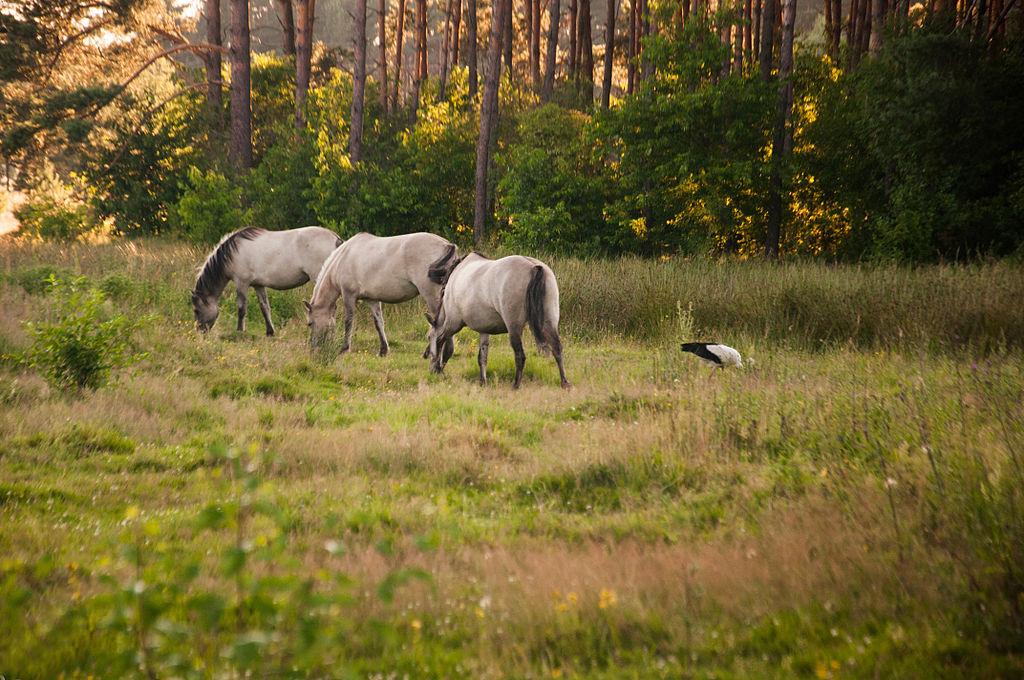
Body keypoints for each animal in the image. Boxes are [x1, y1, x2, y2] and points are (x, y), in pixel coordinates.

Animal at [193, 227, 346, 335]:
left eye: (196, 310)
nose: (200, 331)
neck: (232, 254)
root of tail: (336, 239)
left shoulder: (241, 283)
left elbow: (242, 309)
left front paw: (240, 331)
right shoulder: (258, 285)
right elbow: (264, 307)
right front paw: (270, 332)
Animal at [305, 231, 458, 356]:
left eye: (310, 323)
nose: (313, 347)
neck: (343, 258)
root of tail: (446, 244)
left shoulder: (349, 295)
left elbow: (348, 321)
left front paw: (344, 348)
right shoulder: (372, 299)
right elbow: (379, 323)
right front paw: (383, 350)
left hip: (431, 295)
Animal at [423, 250, 569, 391]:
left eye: (428, 337)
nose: (425, 356)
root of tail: (534, 267)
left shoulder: (452, 324)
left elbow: (440, 341)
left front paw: (437, 367)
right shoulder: (483, 330)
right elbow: (482, 357)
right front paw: (483, 382)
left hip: (514, 328)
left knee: (520, 355)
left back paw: (516, 385)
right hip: (549, 322)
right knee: (557, 349)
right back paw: (565, 383)